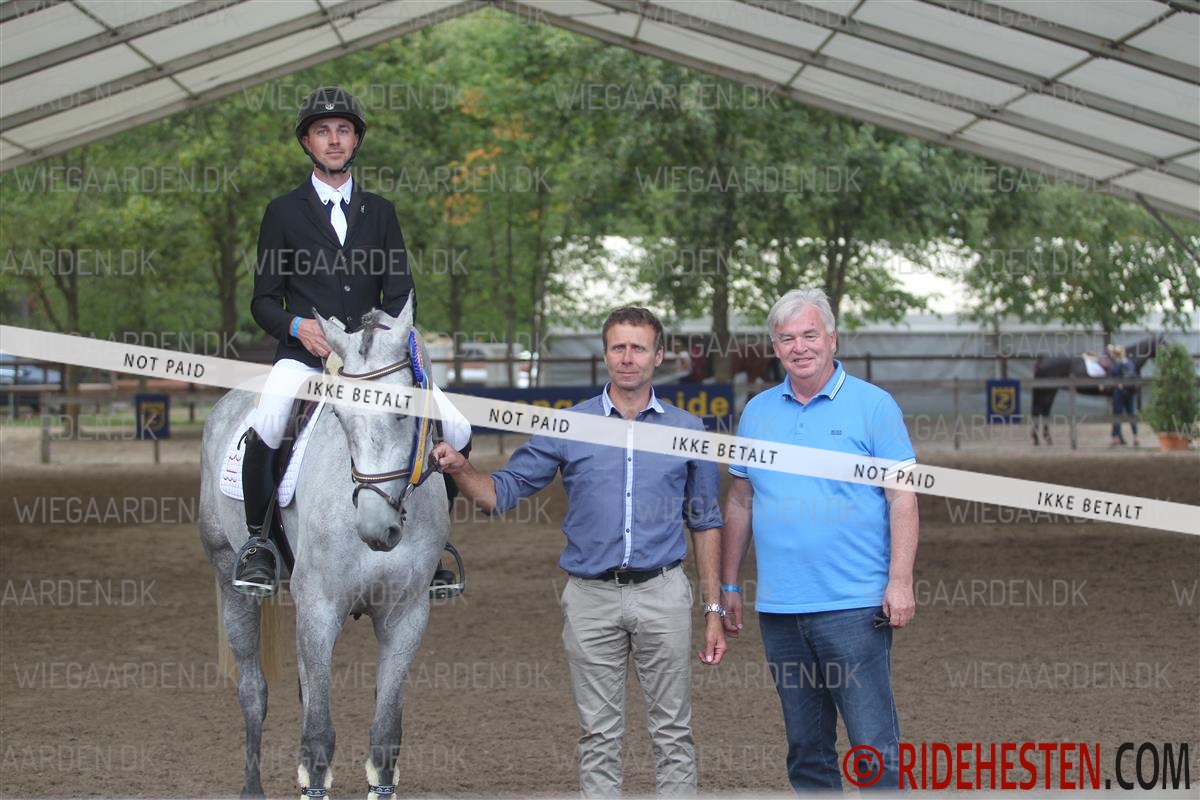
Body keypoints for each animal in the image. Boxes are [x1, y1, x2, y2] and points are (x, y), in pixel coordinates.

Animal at [199, 299, 448, 798]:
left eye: (403, 414)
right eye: (342, 419)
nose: (375, 529)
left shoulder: (405, 616)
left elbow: (385, 735)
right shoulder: (320, 607)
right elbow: (317, 737)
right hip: (229, 576)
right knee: (253, 691)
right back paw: (251, 788)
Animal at [1030, 333, 1164, 446]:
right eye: (1163, 343)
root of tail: (1043, 359)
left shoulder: (1113, 397)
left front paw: (1118, 439)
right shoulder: (1118, 396)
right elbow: (1118, 416)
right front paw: (1120, 440)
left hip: (1047, 392)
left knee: (1041, 411)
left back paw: (1039, 439)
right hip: (1048, 392)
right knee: (1042, 411)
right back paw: (1045, 439)